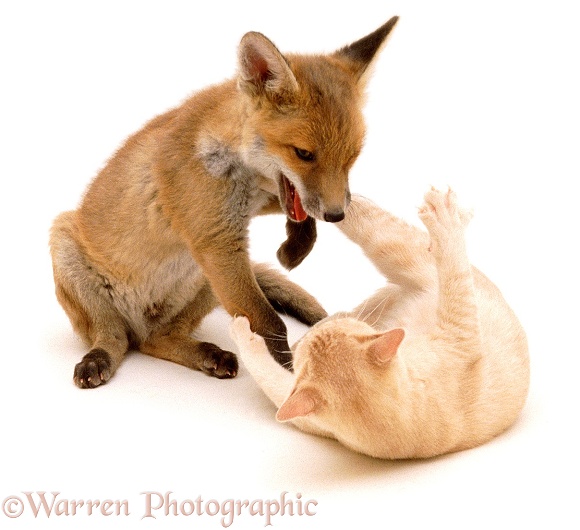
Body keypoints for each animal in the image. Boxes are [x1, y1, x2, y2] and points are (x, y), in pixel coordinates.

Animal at [48, 17, 398, 388]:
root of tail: (138, 324)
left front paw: (297, 245)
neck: (238, 169)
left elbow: (299, 208)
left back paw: (206, 354)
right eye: (304, 154)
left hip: (204, 279)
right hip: (68, 246)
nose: (337, 216)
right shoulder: (218, 243)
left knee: (157, 341)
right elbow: (271, 322)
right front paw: (288, 378)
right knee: (112, 338)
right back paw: (98, 358)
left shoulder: (240, 224)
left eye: (352, 157)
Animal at [231, 188, 532, 456]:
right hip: (397, 254)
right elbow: (264, 370)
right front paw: (243, 332)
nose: (317, 330)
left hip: (399, 256)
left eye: (344, 332)